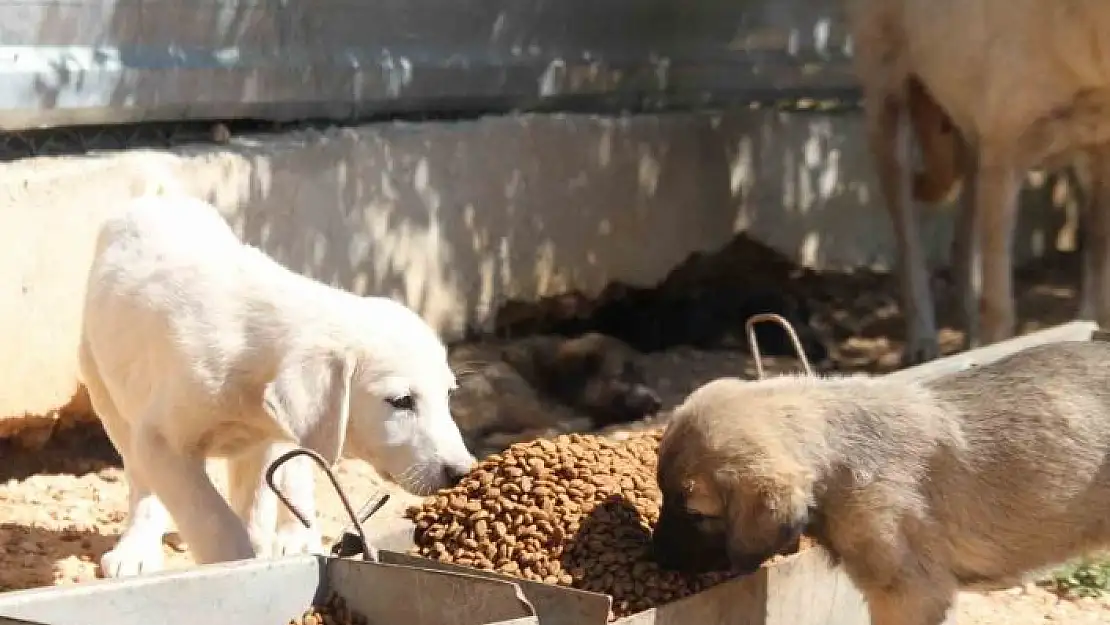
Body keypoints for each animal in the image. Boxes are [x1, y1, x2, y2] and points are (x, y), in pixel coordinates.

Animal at [78, 193, 477, 581]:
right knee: (139, 476)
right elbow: (212, 519)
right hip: (105, 391)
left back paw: (297, 537)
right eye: (401, 401)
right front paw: (238, 565)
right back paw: (136, 551)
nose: (462, 472)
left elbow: (255, 505)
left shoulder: (266, 437)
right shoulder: (161, 439)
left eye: (447, 395)